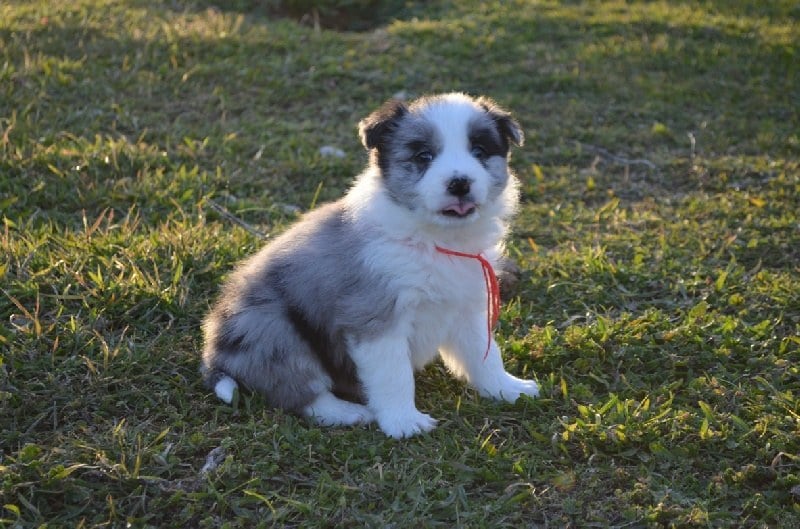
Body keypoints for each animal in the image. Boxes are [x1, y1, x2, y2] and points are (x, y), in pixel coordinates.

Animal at [200, 92, 540, 438]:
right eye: (424, 156)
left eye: (479, 152)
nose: (459, 183)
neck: (433, 239)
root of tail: (214, 358)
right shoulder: (376, 317)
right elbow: (394, 375)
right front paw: (404, 422)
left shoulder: (466, 306)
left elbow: (484, 354)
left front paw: (507, 389)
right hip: (270, 330)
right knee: (302, 393)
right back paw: (350, 413)